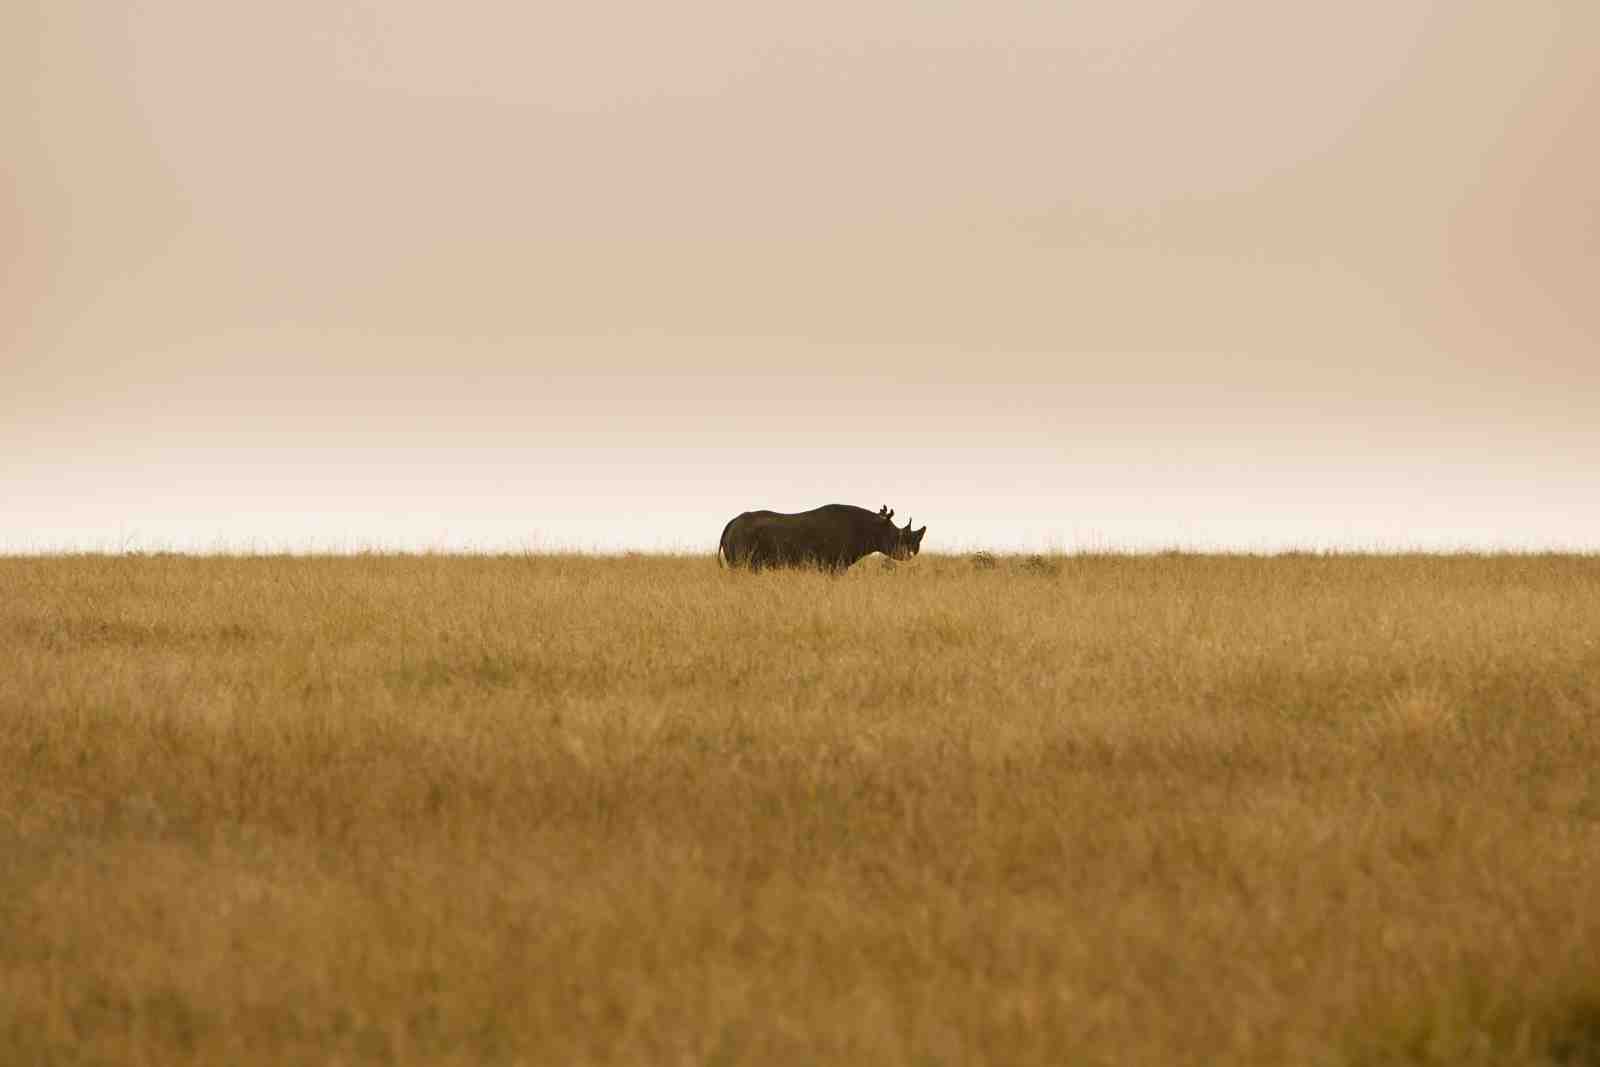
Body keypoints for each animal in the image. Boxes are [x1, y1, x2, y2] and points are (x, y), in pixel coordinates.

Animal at [718, 504, 927, 572]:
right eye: (899, 538)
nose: (913, 552)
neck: (874, 527)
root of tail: (730, 524)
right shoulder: (834, 564)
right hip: (741, 539)